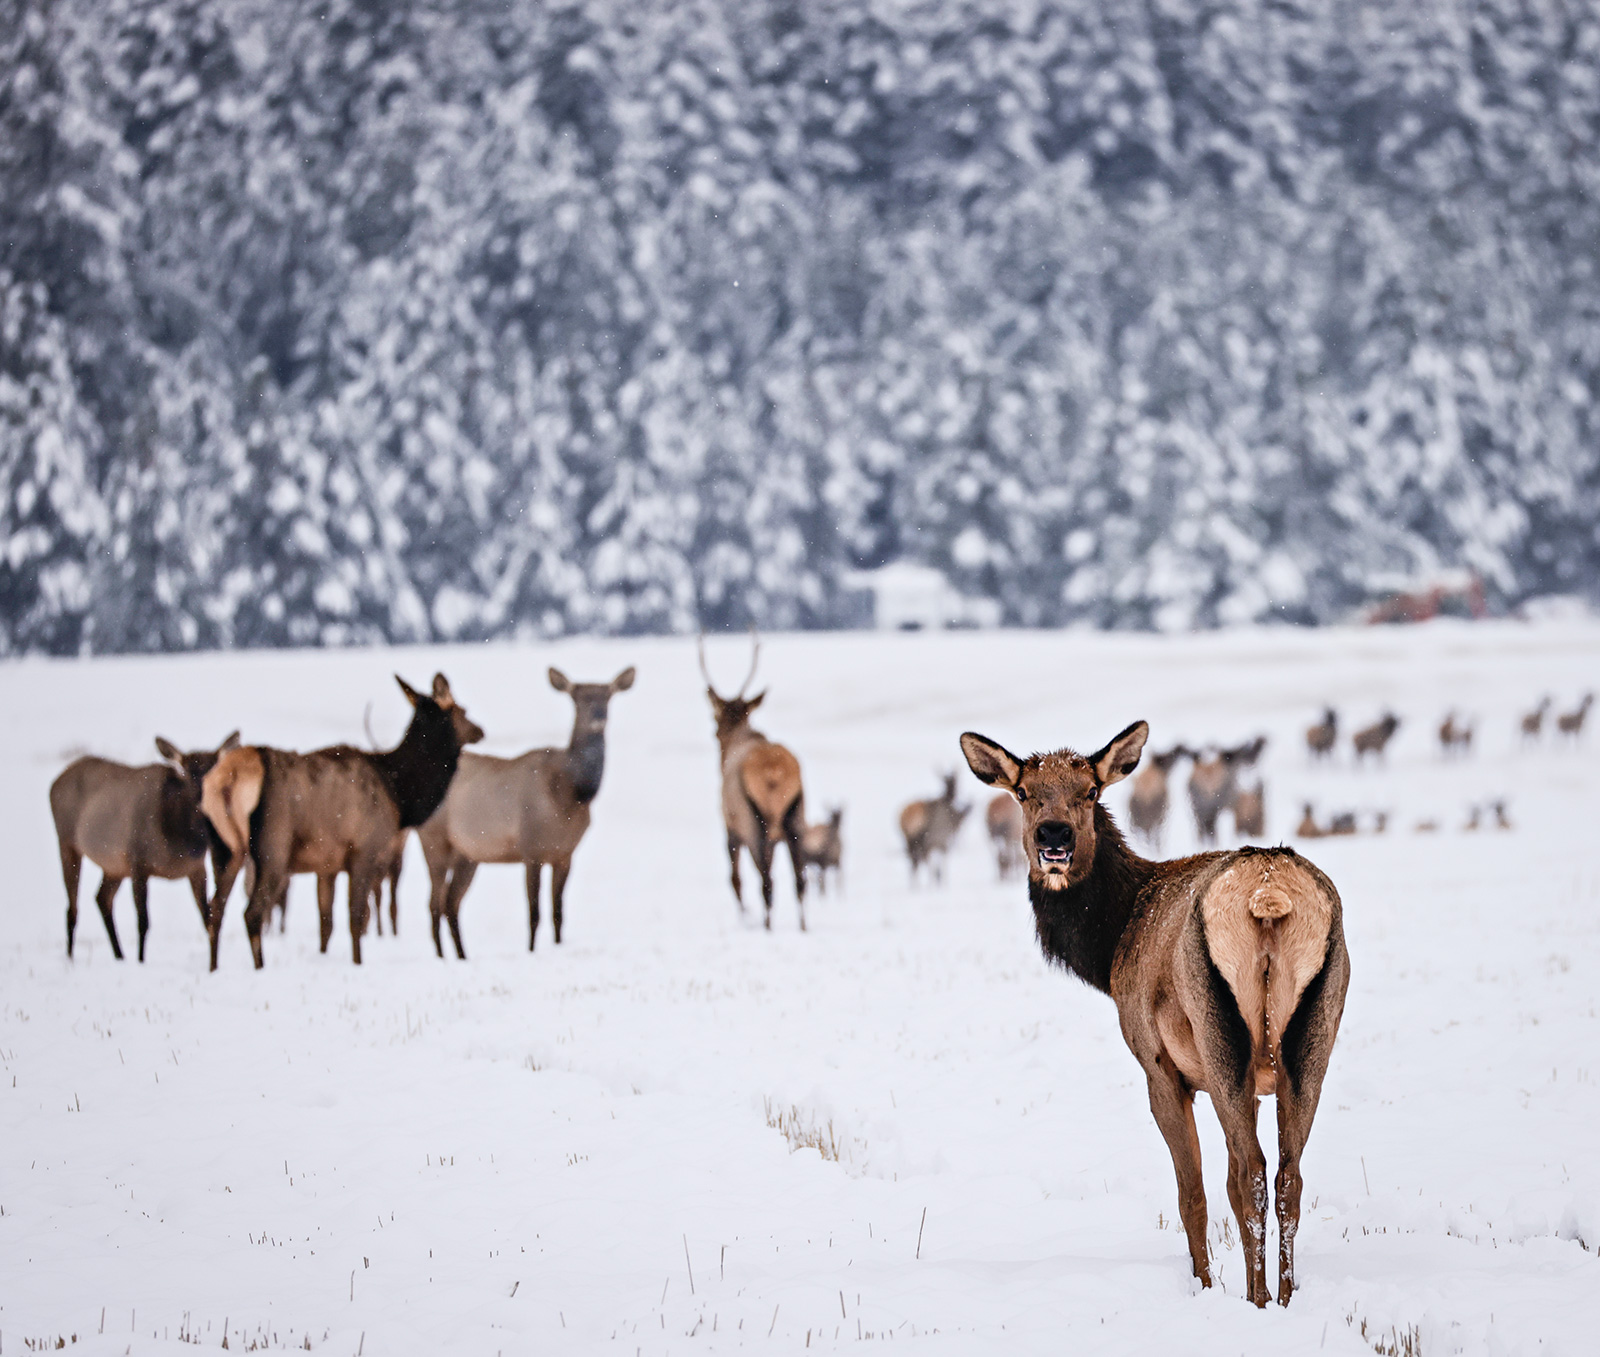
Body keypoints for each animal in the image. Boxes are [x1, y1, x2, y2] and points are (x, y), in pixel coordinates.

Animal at [50, 732, 240, 961]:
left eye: (215, 769)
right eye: (186, 772)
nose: (202, 799)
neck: (181, 843)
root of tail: (55, 782)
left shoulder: (197, 868)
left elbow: (208, 917)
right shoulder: (138, 861)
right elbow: (143, 922)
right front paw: (141, 960)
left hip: (114, 866)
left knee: (102, 898)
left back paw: (119, 956)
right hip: (67, 842)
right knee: (73, 907)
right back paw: (70, 958)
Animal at [201, 674, 482, 970]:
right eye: (462, 710)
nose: (480, 730)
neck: (399, 793)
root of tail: (229, 778)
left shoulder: (327, 864)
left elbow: (327, 922)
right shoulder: (364, 850)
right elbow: (357, 917)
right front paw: (358, 962)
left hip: (225, 850)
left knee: (215, 910)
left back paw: (213, 968)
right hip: (272, 847)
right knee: (252, 913)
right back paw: (259, 968)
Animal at [417, 665, 635, 958]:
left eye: (608, 695)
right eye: (577, 698)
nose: (599, 717)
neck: (571, 796)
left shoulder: (565, 854)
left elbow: (558, 913)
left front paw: (558, 945)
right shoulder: (532, 848)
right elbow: (534, 913)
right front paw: (531, 951)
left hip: (468, 853)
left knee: (451, 903)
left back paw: (462, 956)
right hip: (435, 841)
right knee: (434, 904)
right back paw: (443, 958)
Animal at [700, 633, 808, 931]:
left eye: (714, 724)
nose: (716, 734)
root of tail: (774, 773)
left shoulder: (729, 826)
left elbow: (735, 879)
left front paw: (744, 917)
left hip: (754, 823)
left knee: (766, 882)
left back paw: (766, 927)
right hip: (796, 817)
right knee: (800, 881)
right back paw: (803, 927)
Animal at [960, 721, 1349, 1308]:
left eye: (1090, 791)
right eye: (1025, 793)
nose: (1054, 837)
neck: (1110, 945)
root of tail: (1269, 895)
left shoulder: (1160, 1065)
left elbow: (1194, 1192)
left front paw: (1204, 1285)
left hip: (1219, 1039)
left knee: (1253, 1174)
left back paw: (1257, 1301)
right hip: (1312, 1039)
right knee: (1288, 1177)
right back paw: (1283, 1298)